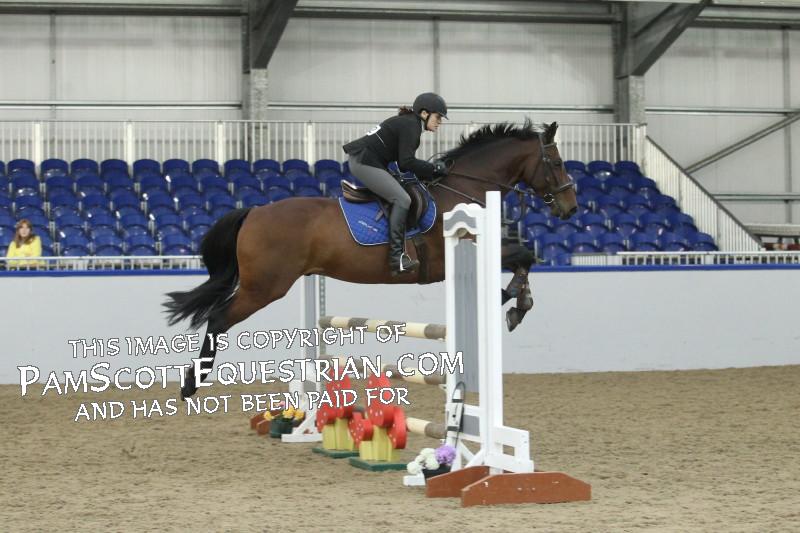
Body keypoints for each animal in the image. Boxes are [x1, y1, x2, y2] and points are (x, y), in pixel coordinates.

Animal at [165, 119, 577, 399]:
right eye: (557, 163)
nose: (570, 207)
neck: (463, 189)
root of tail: (254, 211)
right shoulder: (453, 257)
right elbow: (524, 255)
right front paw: (513, 303)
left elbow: (523, 260)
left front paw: (516, 303)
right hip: (264, 286)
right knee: (219, 318)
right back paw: (191, 383)